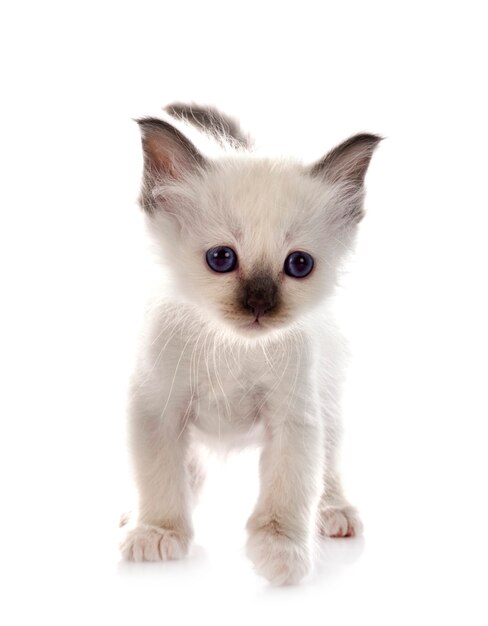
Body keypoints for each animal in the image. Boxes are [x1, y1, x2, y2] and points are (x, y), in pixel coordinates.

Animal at [120, 100, 380, 584]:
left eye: (299, 265)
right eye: (221, 259)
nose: (259, 305)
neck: (234, 348)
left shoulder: (293, 419)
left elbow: (287, 492)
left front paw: (281, 552)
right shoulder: (159, 410)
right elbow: (160, 477)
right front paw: (158, 531)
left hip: (329, 404)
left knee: (328, 464)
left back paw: (333, 511)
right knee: (188, 471)